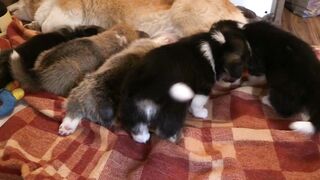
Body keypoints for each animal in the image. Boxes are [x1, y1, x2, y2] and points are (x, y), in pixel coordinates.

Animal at [119, 20, 251, 143]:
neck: (215, 44)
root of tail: (144, 88)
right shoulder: (203, 88)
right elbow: (197, 104)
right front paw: (201, 113)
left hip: (132, 109)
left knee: (138, 128)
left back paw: (144, 138)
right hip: (175, 106)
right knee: (165, 129)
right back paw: (174, 138)